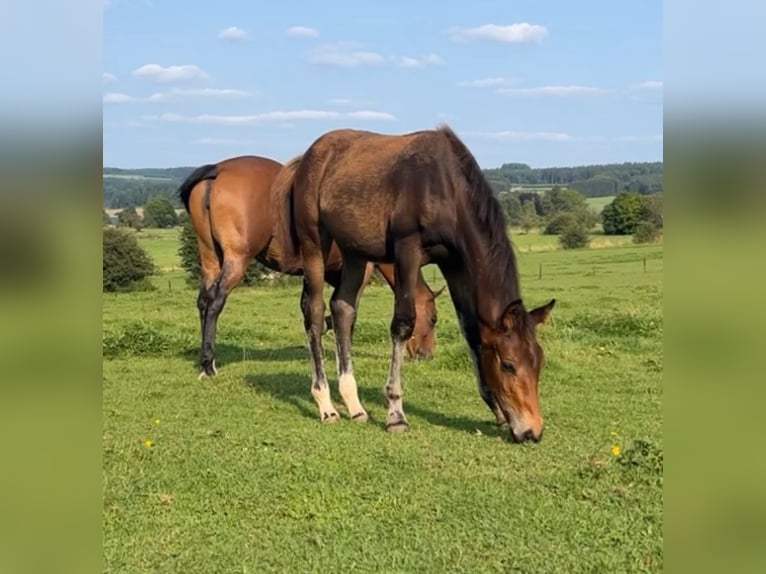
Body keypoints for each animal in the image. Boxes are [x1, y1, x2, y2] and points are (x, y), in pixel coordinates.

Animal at [178, 154, 448, 378]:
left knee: (203, 301)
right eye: (433, 318)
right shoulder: (359, 274)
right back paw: (208, 363)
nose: (426, 355)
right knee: (215, 302)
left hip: (211, 260)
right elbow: (345, 312)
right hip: (237, 261)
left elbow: (310, 307)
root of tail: (219, 168)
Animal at [278, 125, 560, 440]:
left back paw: (355, 405)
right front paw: (395, 413)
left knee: (342, 309)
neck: (446, 189)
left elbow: (471, 331)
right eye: (509, 364)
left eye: (539, 361)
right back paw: (326, 405)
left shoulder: (454, 264)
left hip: (355, 252)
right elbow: (403, 324)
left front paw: (497, 411)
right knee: (314, 313)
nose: (532, 431)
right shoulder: (407, 251)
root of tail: (307, 158)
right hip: (314, 244)